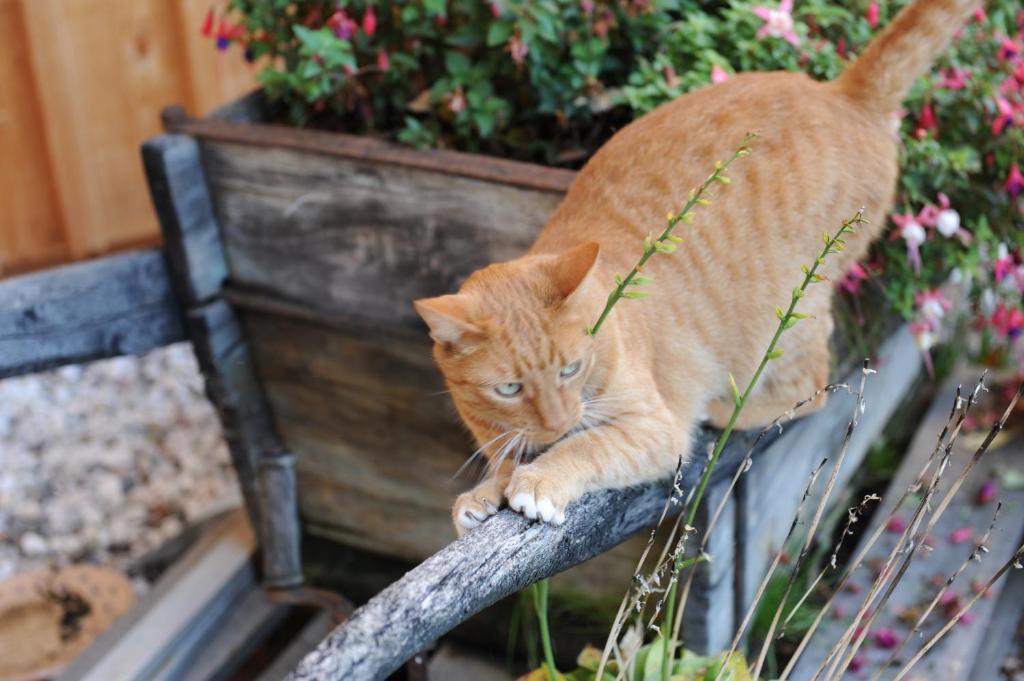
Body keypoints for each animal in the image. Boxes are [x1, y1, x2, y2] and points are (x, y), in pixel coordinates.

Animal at [413, 0, 974, 536]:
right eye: (509, 390)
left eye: (571, 369)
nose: (557, 420)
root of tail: (840, 92)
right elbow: (507, 459)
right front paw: (486, 492)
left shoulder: (655, 429)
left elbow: (586, 446)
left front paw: (540, 478)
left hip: (789, 315)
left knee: (810, 384)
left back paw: (728, 410)